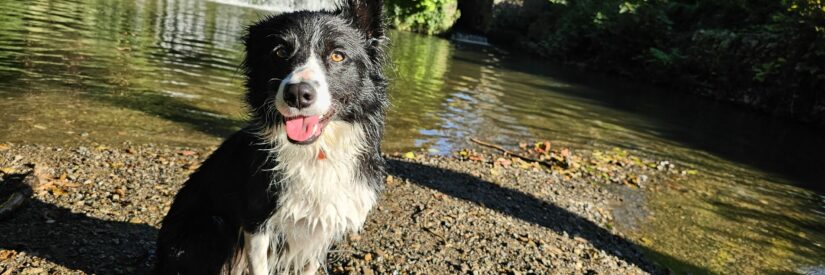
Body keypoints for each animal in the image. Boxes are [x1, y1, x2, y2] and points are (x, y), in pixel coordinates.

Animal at [155, 1, 390, 274]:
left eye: (337, 55)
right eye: (279, 52)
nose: (297, 94)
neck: (315, 151)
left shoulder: (321, 229)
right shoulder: (256, 221)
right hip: (209, 227)